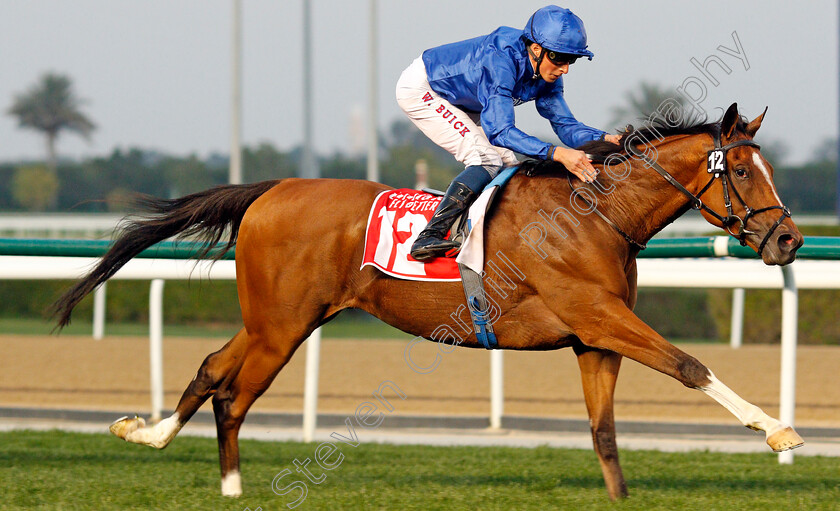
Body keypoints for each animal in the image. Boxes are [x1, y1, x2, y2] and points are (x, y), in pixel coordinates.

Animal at [52, 103, 808, 500]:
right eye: (743, 171)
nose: (790, 238)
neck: (595, 214)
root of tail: (270, 189)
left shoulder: (594, 338)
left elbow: (604, 433)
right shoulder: (602, 317)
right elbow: (690, 366)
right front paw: (778, 430)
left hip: (275, 319)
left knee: (212, 367)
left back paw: (146, 433)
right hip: (282, 325)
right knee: (234, 394)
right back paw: (232, 485)